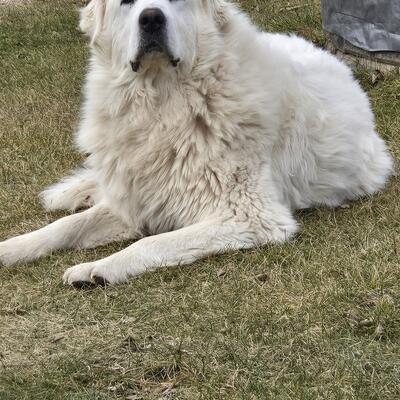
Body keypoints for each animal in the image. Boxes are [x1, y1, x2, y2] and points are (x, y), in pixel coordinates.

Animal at [0, 0, 393, 287]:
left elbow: (150, 242)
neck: (161, 104)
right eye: (126, 2)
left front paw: (97, 268)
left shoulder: (250, 217)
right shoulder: (141, 201)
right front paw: (11, 248)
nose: (152, 18)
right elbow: (64, 228)